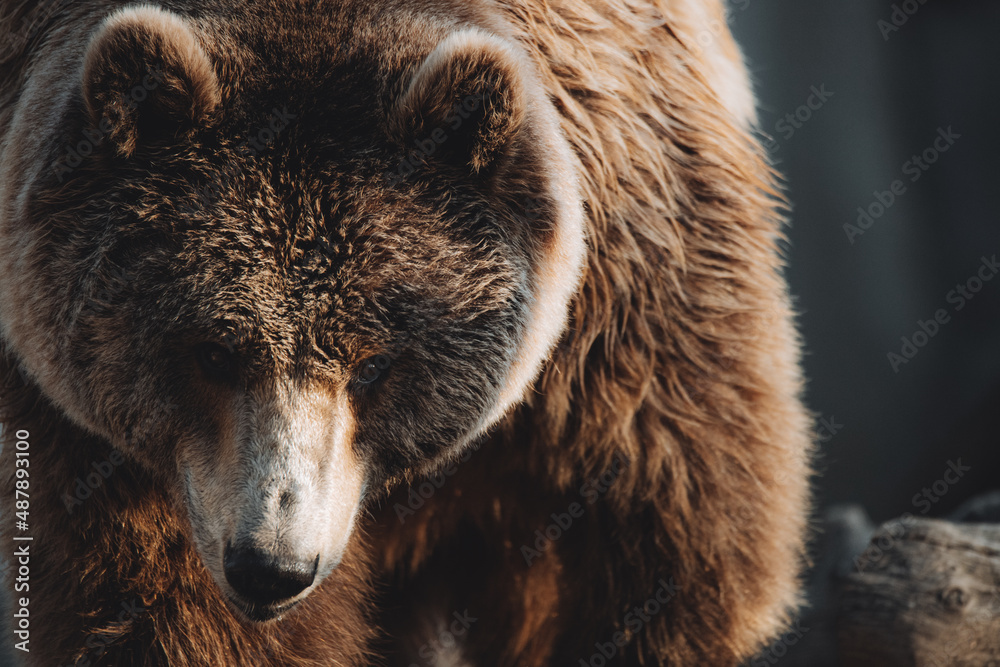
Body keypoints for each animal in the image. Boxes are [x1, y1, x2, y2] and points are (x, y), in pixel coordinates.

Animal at [0, 0, 812, 665]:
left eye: (374, 363)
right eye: (213, 351)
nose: (272, 566)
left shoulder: (627, 291)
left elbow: (647, 549)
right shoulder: (109, 448)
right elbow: (154, 599)